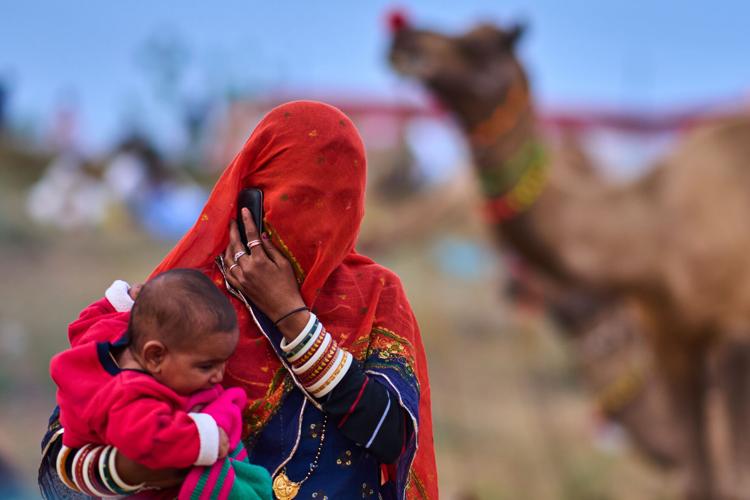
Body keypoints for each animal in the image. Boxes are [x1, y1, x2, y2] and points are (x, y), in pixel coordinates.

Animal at [389, 17, 750, 499]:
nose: (405, 39)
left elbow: (732, 477)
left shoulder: (735, 332)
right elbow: (698, 479)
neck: (659, 227)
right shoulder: (671, 335)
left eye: (482, 48)